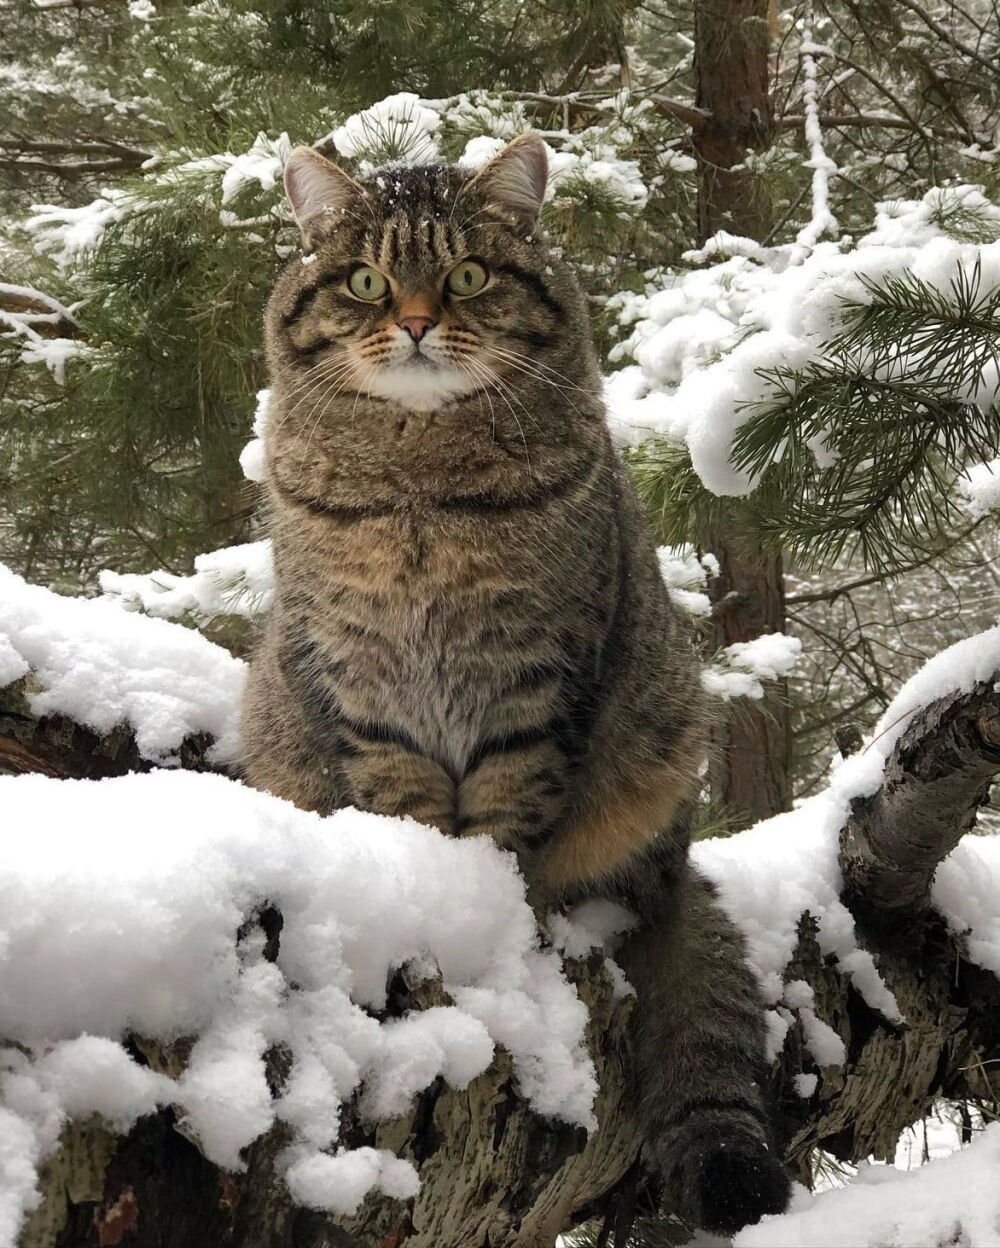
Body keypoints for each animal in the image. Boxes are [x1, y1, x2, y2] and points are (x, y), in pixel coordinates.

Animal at [239, 134, 789, 1228]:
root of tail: (679, 858)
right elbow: (406, 809)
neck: (417, 487)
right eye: (366, 282)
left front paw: (496, 920)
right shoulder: (363, 692)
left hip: (657, 754)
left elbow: (507, 824)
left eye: (466, 276)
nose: (414, 322)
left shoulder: (534, 683)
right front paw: (434, 897)